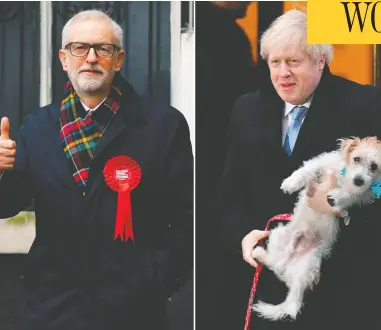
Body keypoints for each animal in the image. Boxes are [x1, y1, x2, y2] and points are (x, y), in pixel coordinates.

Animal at [251, 137, 378, 322]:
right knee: (275, 263)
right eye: (356, 159)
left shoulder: (364, 194)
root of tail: (287, 271)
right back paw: (265, 252)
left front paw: (338, 196)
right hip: (278, 234)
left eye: (374, 166)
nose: (359, 180)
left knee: (293, 302)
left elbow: (351, 194)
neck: (344, 177)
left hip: (309, 264)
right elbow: (308, 169)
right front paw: (291, 183)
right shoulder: (323, 163)